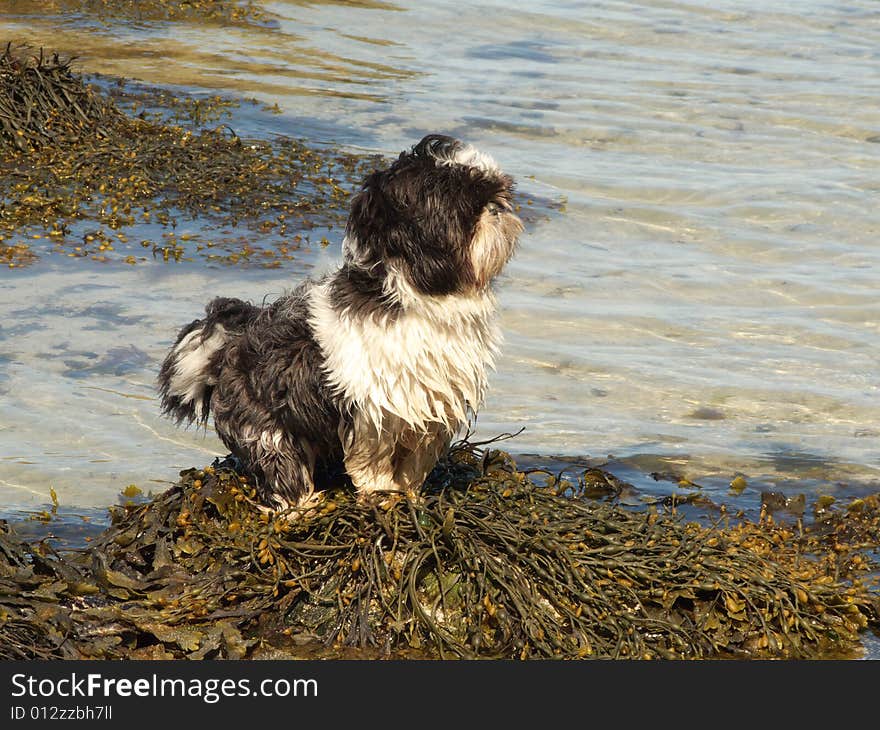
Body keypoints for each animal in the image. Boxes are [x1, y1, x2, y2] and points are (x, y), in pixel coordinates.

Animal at [158, 134, 524, 510]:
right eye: (460, 203)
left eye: (493, 193)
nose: (496, 208)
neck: (419, 298)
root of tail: (224, 348)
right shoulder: (372, 410)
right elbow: (372, 460)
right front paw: (382, 493)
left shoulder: (429, 408)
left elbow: (415, 459)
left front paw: (409, 493)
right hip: (265, 427)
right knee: (281, 467)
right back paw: (303, 506)